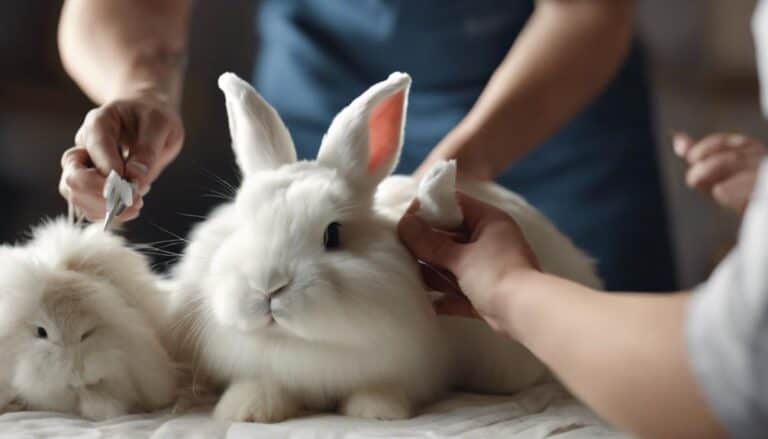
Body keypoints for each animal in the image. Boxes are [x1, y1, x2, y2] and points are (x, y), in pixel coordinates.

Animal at [168, 72, 602, 423]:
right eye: (242, 224)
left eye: (333, 235)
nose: (268, 286)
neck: (301, 345)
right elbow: (261, 384)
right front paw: (248, 409)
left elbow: (383, 389)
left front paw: (375, 410)